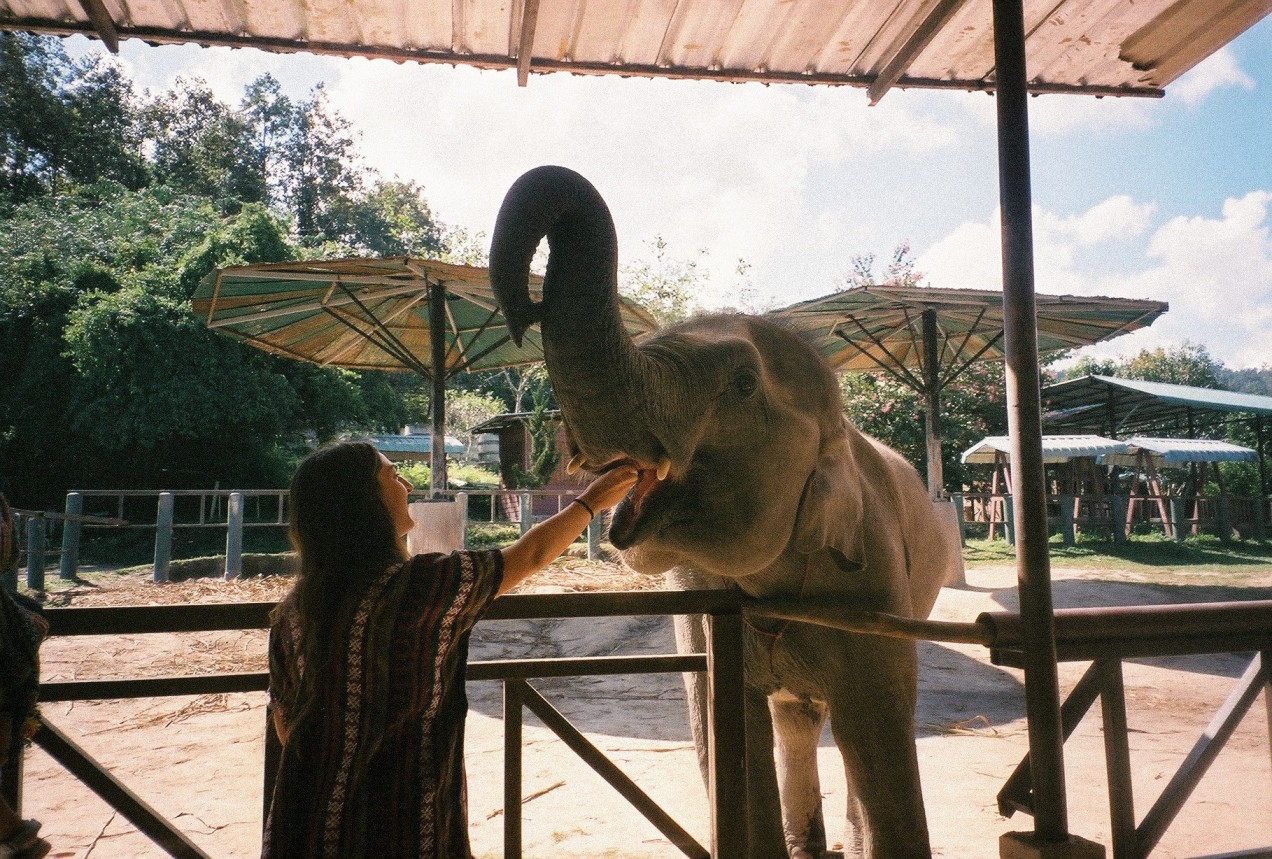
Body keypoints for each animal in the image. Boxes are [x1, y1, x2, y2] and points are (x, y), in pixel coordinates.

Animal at [489, 165, 958, 858]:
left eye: (742, 383)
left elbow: (877, 730)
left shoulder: (875, 585)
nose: (522, 309)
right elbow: (727, 724)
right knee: (796, 718)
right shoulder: (701, 603)